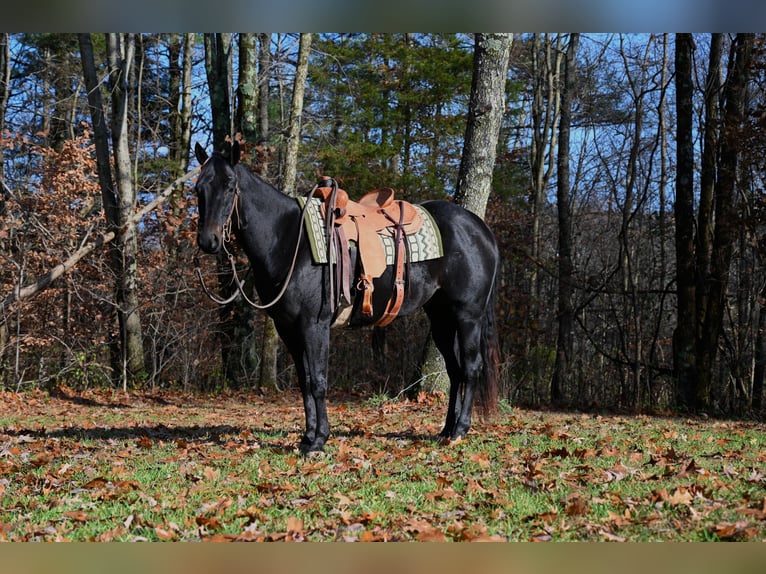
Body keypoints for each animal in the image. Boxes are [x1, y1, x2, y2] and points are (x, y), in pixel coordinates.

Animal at [193, 140, 500, 453]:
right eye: (198, 188)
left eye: (230, 185)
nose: (208, 241)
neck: (289, 239)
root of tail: (480, 229)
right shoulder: (288, 328)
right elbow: (304, 381)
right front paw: (308, 437)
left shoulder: (314, 325)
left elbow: (318, 381)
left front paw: (319, 440)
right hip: (441, 317)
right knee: (455, 370)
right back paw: (447, 430)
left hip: (468, 316)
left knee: (471, 368)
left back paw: (460, 429)